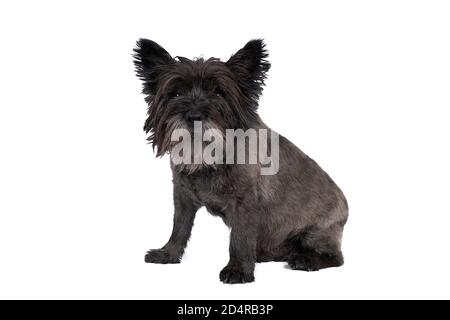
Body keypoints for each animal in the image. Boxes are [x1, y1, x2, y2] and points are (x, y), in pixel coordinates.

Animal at [134, 38, 348, 284]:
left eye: (219, 93)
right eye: (176, 94)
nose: (194, 116)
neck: (209, 158)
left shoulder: (244, 203)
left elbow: (239, 238)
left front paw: (238, 270)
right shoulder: (183, 198)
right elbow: (179, 228)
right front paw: (168, 253)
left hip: (316, 234)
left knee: (335, 257)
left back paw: (306, 260)